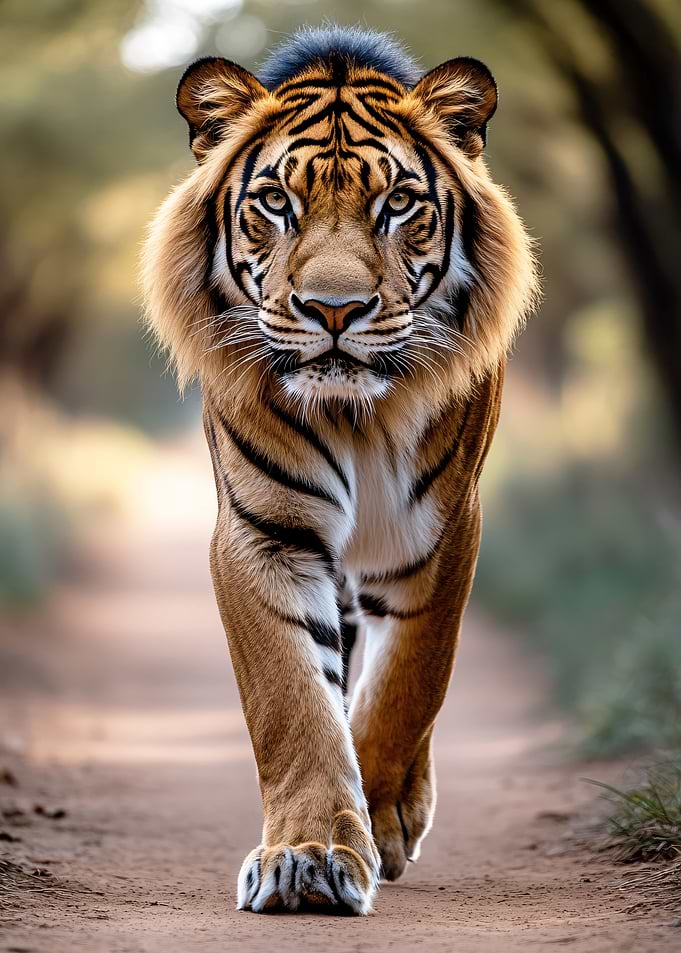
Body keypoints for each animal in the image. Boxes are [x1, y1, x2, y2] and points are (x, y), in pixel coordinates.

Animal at [143, 25, 538, 916]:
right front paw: (309, 854)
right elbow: (293, 705)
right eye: (274, 204)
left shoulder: (441, 530)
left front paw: (382, 818)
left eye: (397, 204)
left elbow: (408, 684)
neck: (354, 414)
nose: (332, 310)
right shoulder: (264, 536)